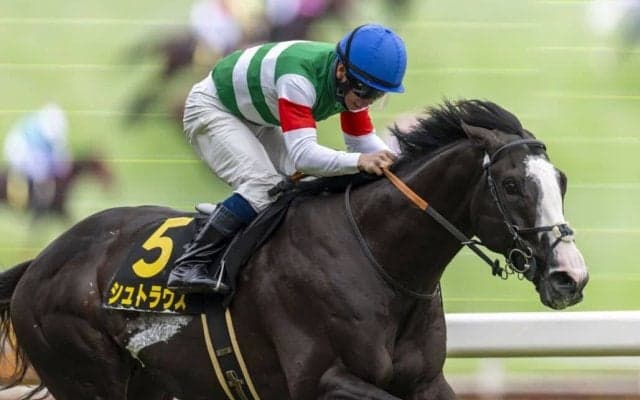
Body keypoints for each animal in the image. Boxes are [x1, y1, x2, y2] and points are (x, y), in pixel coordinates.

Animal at [0, 99, 588, 399]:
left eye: (559, 180)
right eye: (512, 185)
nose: (570, 276)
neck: (378, 259)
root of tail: (39, 265)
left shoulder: (426, 382)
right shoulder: (321, 381)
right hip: (85, 374)